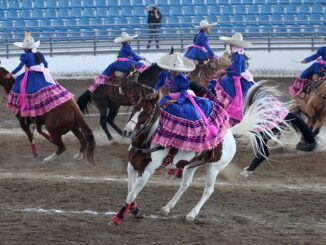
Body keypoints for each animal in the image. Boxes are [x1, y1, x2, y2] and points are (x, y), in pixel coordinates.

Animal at [111, 83, 288, 224]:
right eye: (134, 109)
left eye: (146, 113)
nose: (127, 132)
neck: (146, 142)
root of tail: (229, 132)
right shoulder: (132, 167)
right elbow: (130, 190)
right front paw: (135, 210)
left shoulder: (147, 172)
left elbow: (130, 195)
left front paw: (119, 217)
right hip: (192, 165)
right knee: (185, 185)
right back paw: (167, 207)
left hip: (214, 168)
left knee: (208, 190)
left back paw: (192, 214)